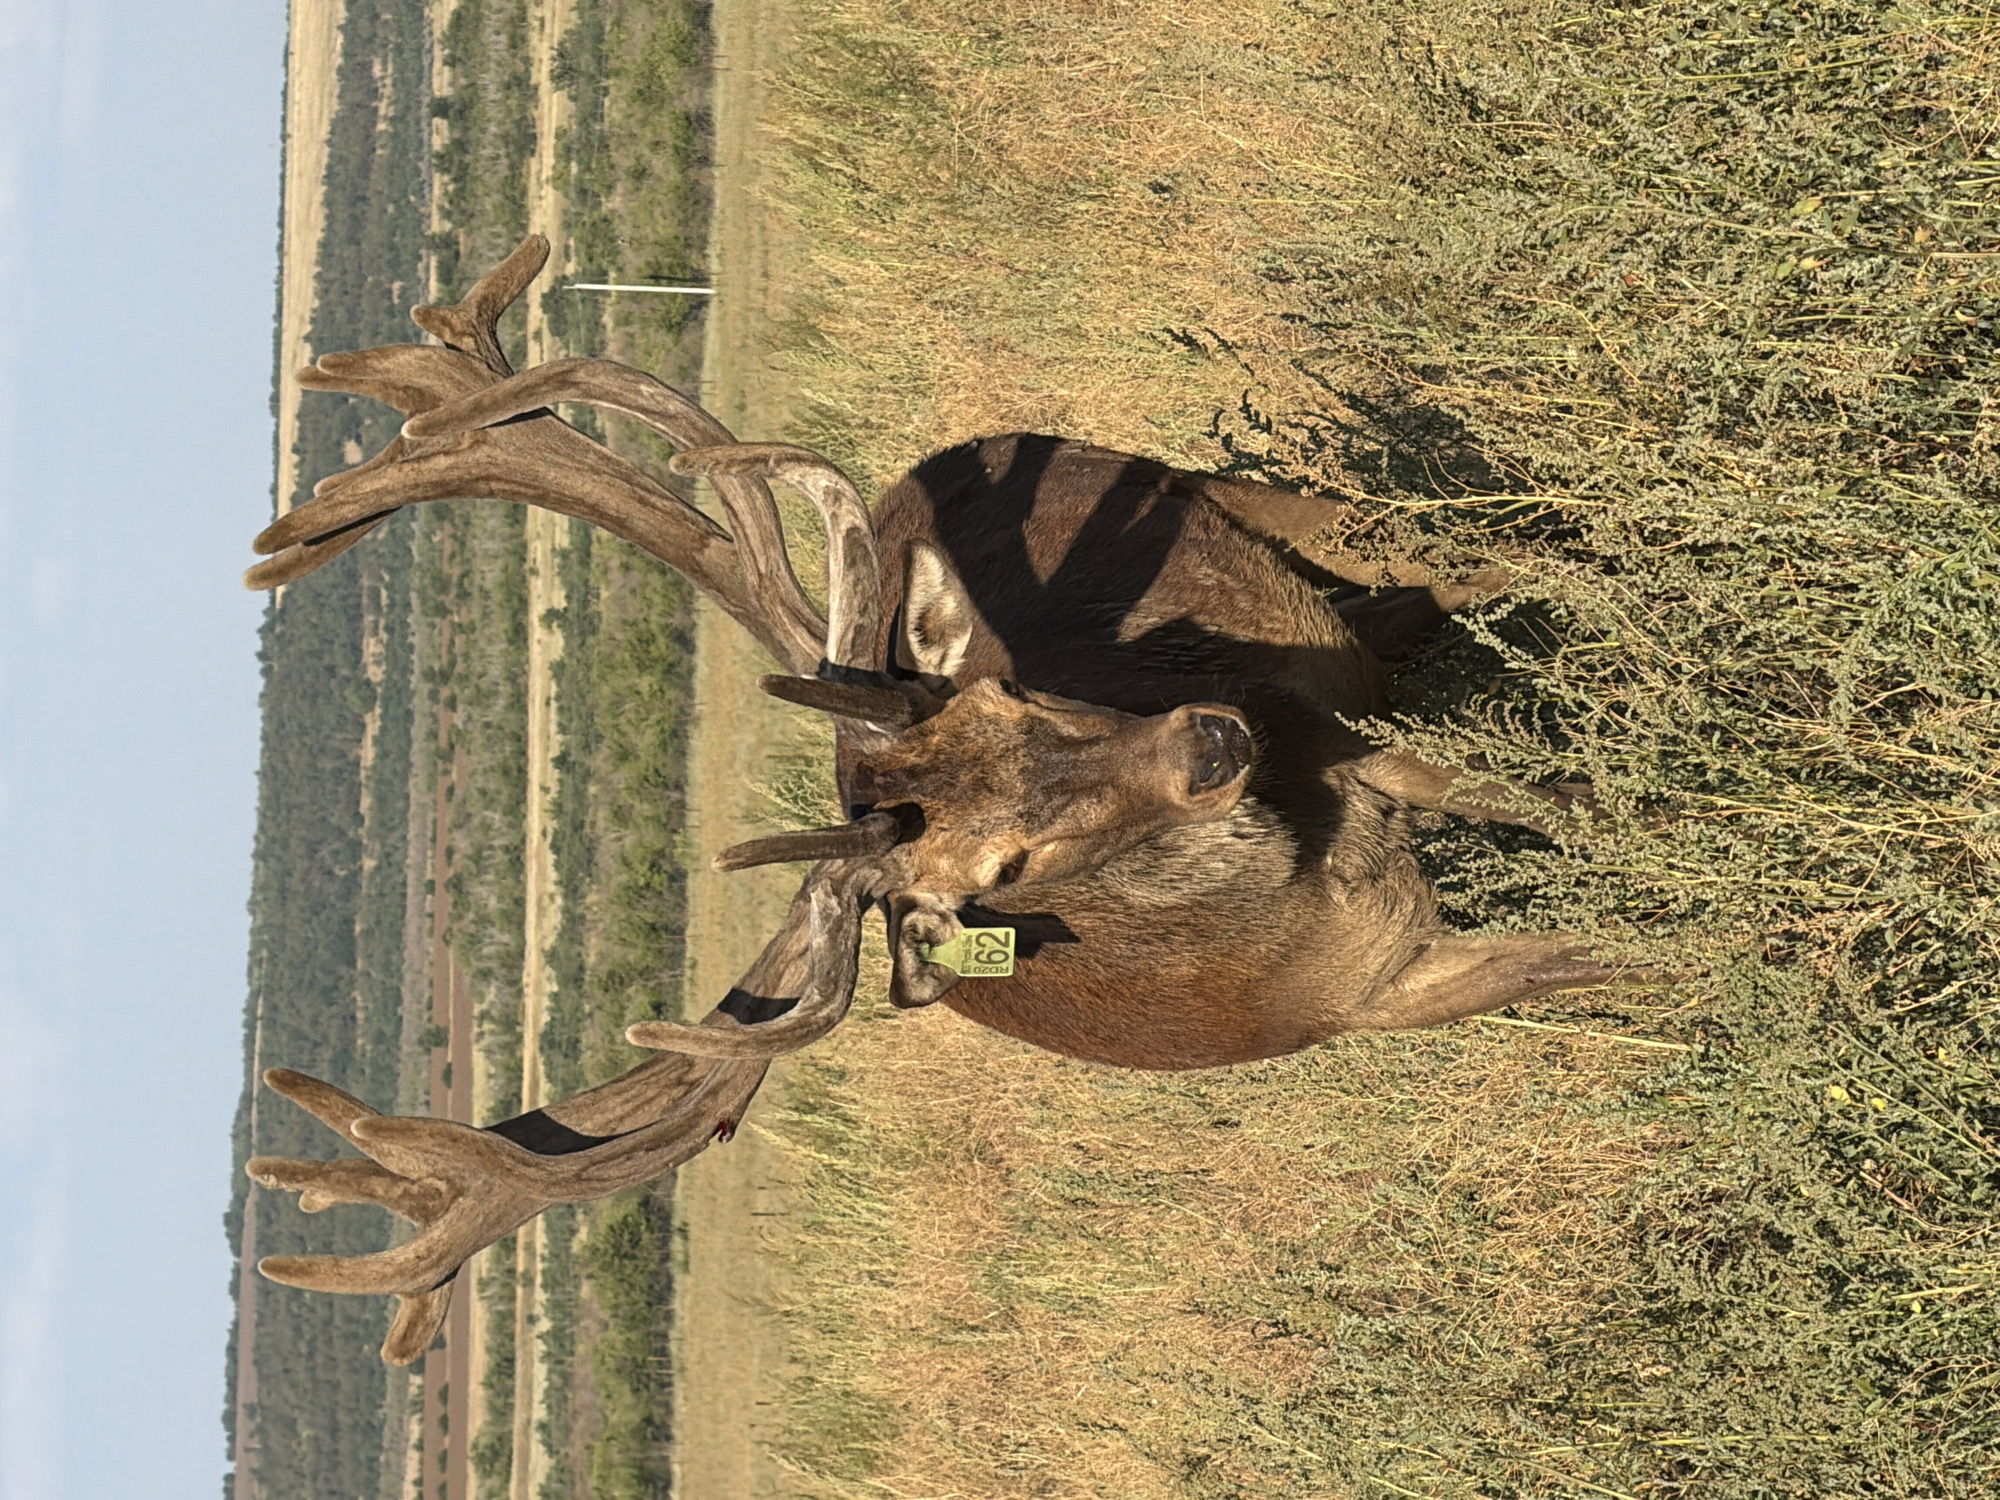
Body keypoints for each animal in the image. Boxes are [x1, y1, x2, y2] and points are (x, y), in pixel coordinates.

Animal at [242, 236, 1653, 1364]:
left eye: (1018, 694)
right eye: (998, 875)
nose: (1209, 739)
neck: (1275, 923)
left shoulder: (1336, 741)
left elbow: (1557, 806)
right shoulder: (1367, 992)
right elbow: (1593, 950)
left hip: (1228, 495)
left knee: (1434, 541)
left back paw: (1595, 545)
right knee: (1410, 599)